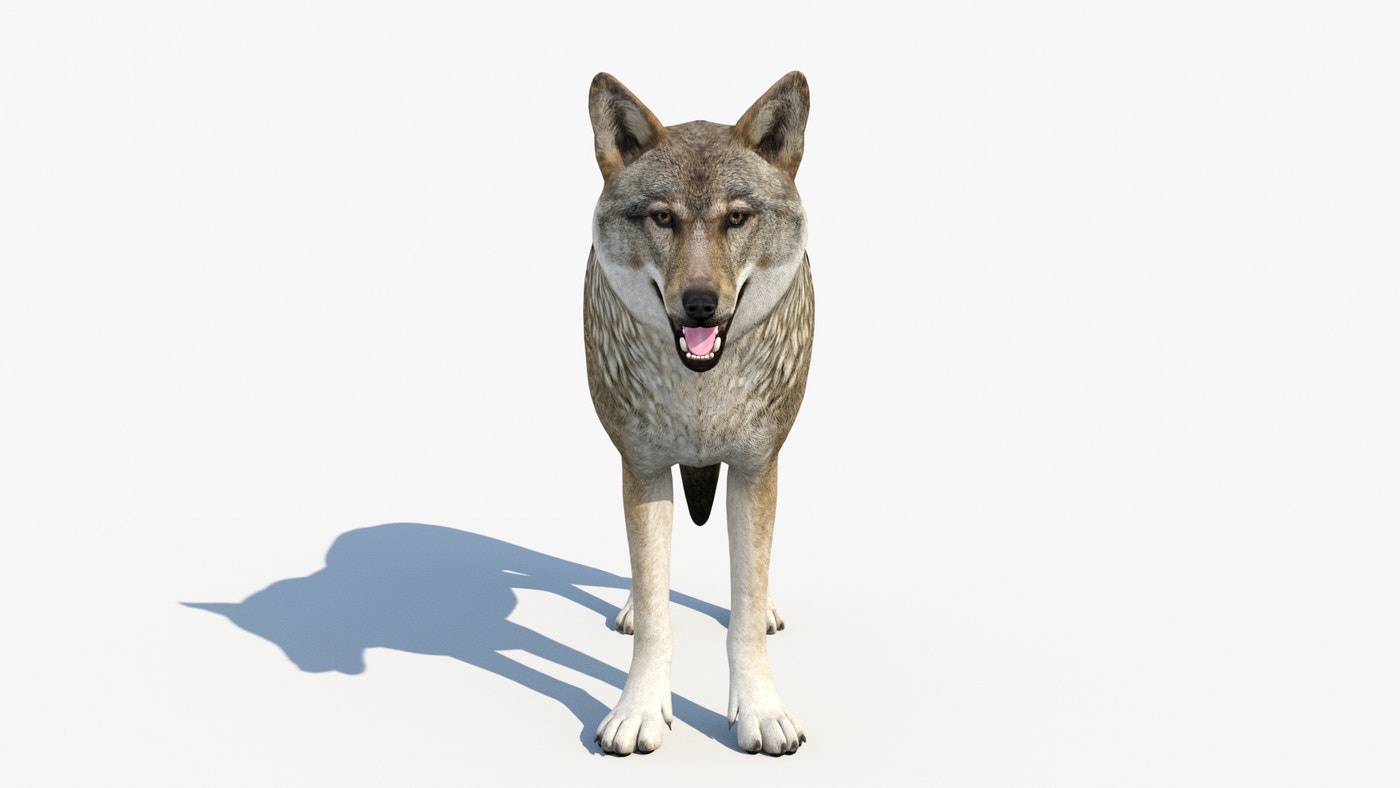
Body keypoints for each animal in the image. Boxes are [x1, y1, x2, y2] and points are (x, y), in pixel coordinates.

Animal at [583, 71, 814, 755]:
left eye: (736, 218)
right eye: (663, 218)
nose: (701, 304)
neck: (700, 394)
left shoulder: (756, 468)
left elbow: (744, 605)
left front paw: (761, 712)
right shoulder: (643, 468)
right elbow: (659, 613)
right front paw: (637, 711)